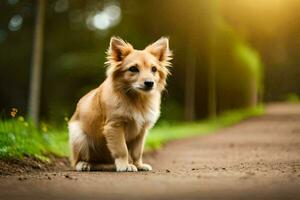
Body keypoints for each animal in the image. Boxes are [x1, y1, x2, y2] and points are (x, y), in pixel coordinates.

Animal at [67, 36, 171, 171]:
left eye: (154, 69)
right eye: (133, 69)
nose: (149, 83)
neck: (136, 100)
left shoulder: (141, 131)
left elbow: (137, 152)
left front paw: (138, 165)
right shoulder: (114, 126)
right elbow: (122, 149)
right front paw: (125, 165)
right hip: (79, 137)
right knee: (77, 161)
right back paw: (83, 164)